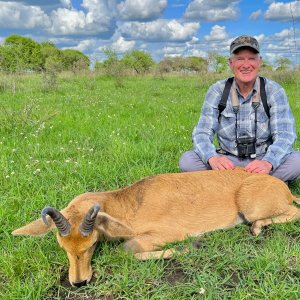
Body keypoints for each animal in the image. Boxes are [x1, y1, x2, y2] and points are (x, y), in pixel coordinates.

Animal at [12, 168, 300, 288]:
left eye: (92, 243)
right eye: (62, 246)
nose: (79, 282)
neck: (127, 206)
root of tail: (283, 188)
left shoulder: (167, 233)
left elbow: (127, 249)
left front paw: (189, 248)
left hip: (251, 207)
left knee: (293, 211)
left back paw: (257, 228)